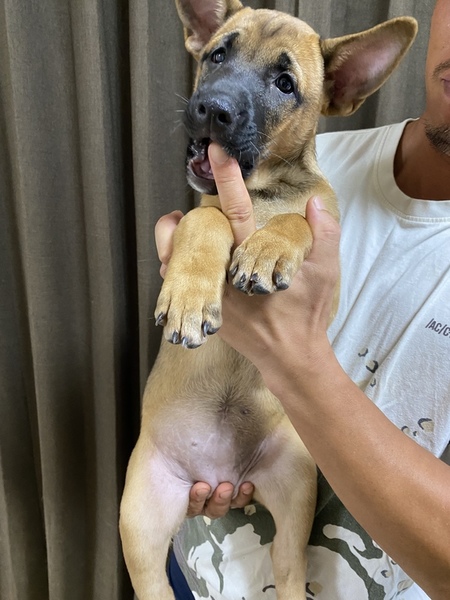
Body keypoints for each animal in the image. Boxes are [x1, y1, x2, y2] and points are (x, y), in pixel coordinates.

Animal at [120, 2, 417, 598]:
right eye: (217, 55)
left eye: (285, 84)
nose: (212, 109)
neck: (262, 194)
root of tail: (221, 475)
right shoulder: (193, 213)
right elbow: (207, 218)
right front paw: (191, 294)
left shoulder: (326, 272)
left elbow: (294, 223)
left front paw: (269, 249)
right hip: (138, 516)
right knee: (151, 581)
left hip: (297, 482)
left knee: (288, 562)